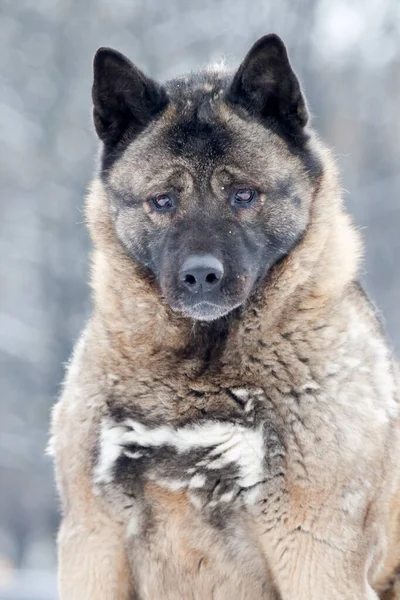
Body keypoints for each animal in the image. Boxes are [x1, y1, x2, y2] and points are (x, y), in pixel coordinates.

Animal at [48, 34, 398, 600]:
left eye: (244, 196)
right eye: (162, 201)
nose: (201, 276)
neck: (200, 366)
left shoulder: (314, 551)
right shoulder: (92, 543)